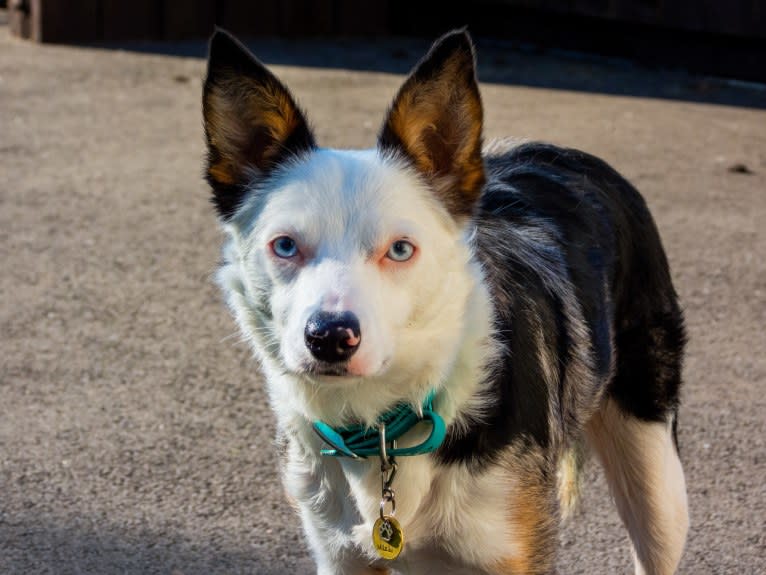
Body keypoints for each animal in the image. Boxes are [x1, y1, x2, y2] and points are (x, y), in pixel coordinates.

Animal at [202, 28, 688, 575]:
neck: (388, 422)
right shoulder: (339, 555)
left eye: (400, 249)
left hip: (658, 486)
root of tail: (571, 153)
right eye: (285, 245)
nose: (330, 338)